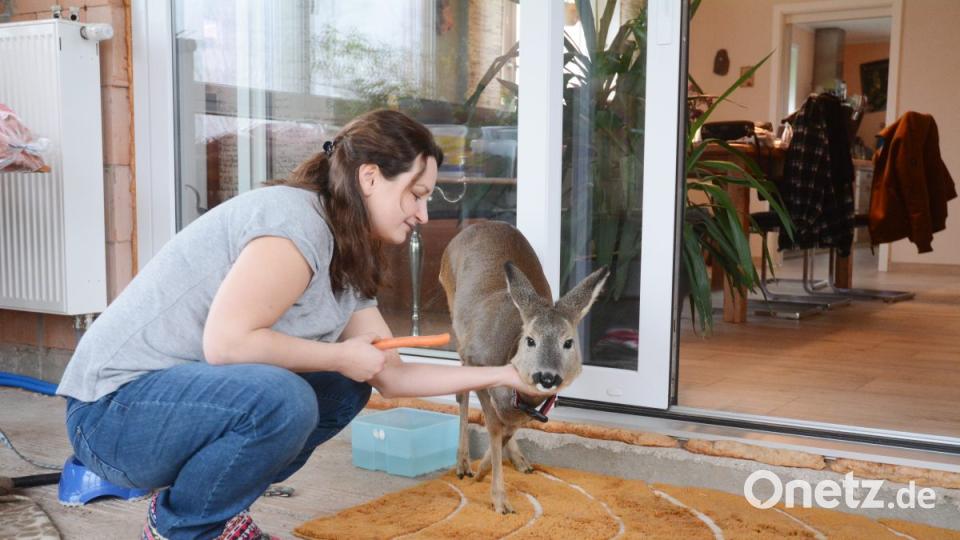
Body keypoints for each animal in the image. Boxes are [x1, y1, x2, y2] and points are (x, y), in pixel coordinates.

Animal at [439, 221, 608, 514]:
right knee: (462, 395)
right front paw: (498, 497)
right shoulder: (475, 359)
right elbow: (494, 426)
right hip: (454, 316)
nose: (547, 376)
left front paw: (486, 470)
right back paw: (462, 464)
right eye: (530, 340)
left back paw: (518, 460)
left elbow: (507, 428)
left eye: (568, 342)